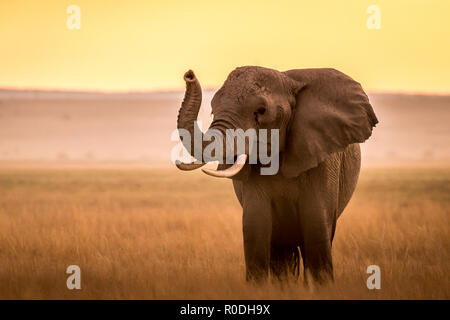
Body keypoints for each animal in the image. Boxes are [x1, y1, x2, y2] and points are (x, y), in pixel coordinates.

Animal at [174, 65, 378, 282]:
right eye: (212, 109)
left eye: (261, 111)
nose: (189, 74)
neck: (289, 81)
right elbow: (255, 226)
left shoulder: (323, 159)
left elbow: (316, 225)